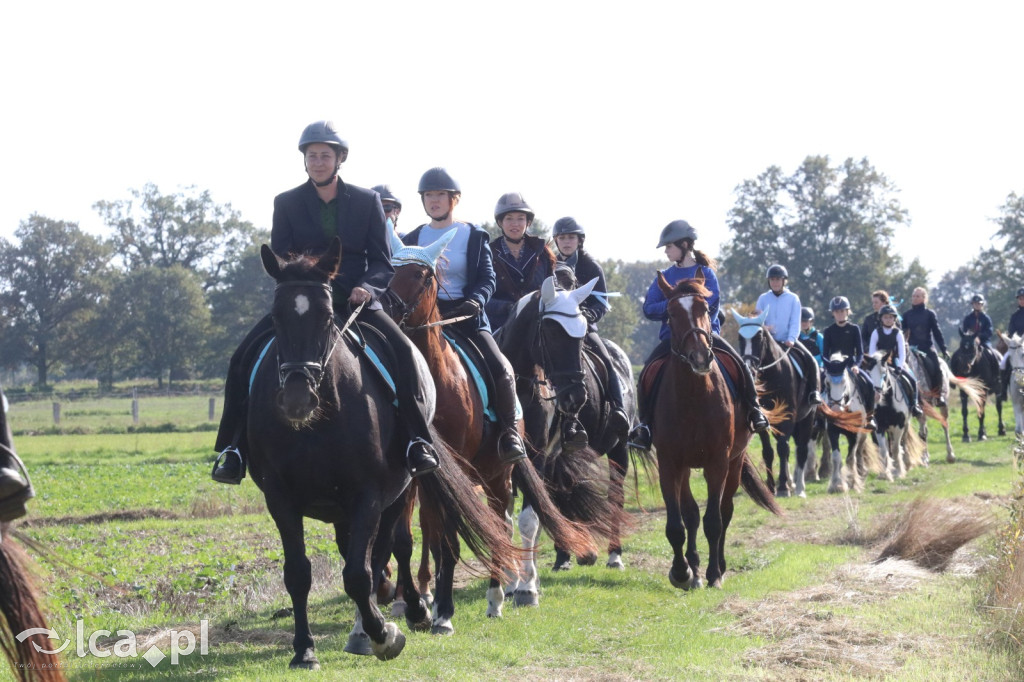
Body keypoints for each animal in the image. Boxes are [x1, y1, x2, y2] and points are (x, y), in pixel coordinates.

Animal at [244, 241, 516, 667]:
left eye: (327, 317)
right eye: (275, 316)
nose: (297, 399)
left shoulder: (373, 494)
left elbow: (367, 569)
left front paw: (390, 630)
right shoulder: (281, 498)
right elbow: (299, 573)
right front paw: (305, 649)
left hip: (486, 475)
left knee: (496, 525)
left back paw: (490, 596)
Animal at [497, 274, 638, 569]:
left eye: (582, 335)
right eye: (551, 332)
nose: (576, 396)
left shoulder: (537, 455)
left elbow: (531, 517)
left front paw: (527, 578)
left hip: (618, 449)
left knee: (615, 496)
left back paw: (614, 554)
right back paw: (563, 556)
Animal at [651, 274, 778, 585]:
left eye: (706, 310)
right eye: (671, 314)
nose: (699, 357)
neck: (693, 396)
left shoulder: (718, 461)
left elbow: (714, 520)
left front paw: (714, 574)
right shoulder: (669, 462)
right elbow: (677, 523)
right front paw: (682, 572)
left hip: (735, 462)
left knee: (724, 511)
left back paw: (717, 565)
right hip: (686, 468)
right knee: (691, 514)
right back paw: (694, 568)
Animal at [733, 311, 819, 497]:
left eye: (760, 337)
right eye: (740, 338)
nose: (749, 369)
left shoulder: (788, 417)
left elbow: (783, 448)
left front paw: (782, 488)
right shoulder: (762, 420)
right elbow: (769, 451)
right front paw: (772, 487)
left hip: (808, 417)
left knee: (801, 449)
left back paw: (799, 488)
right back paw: (791, 483)